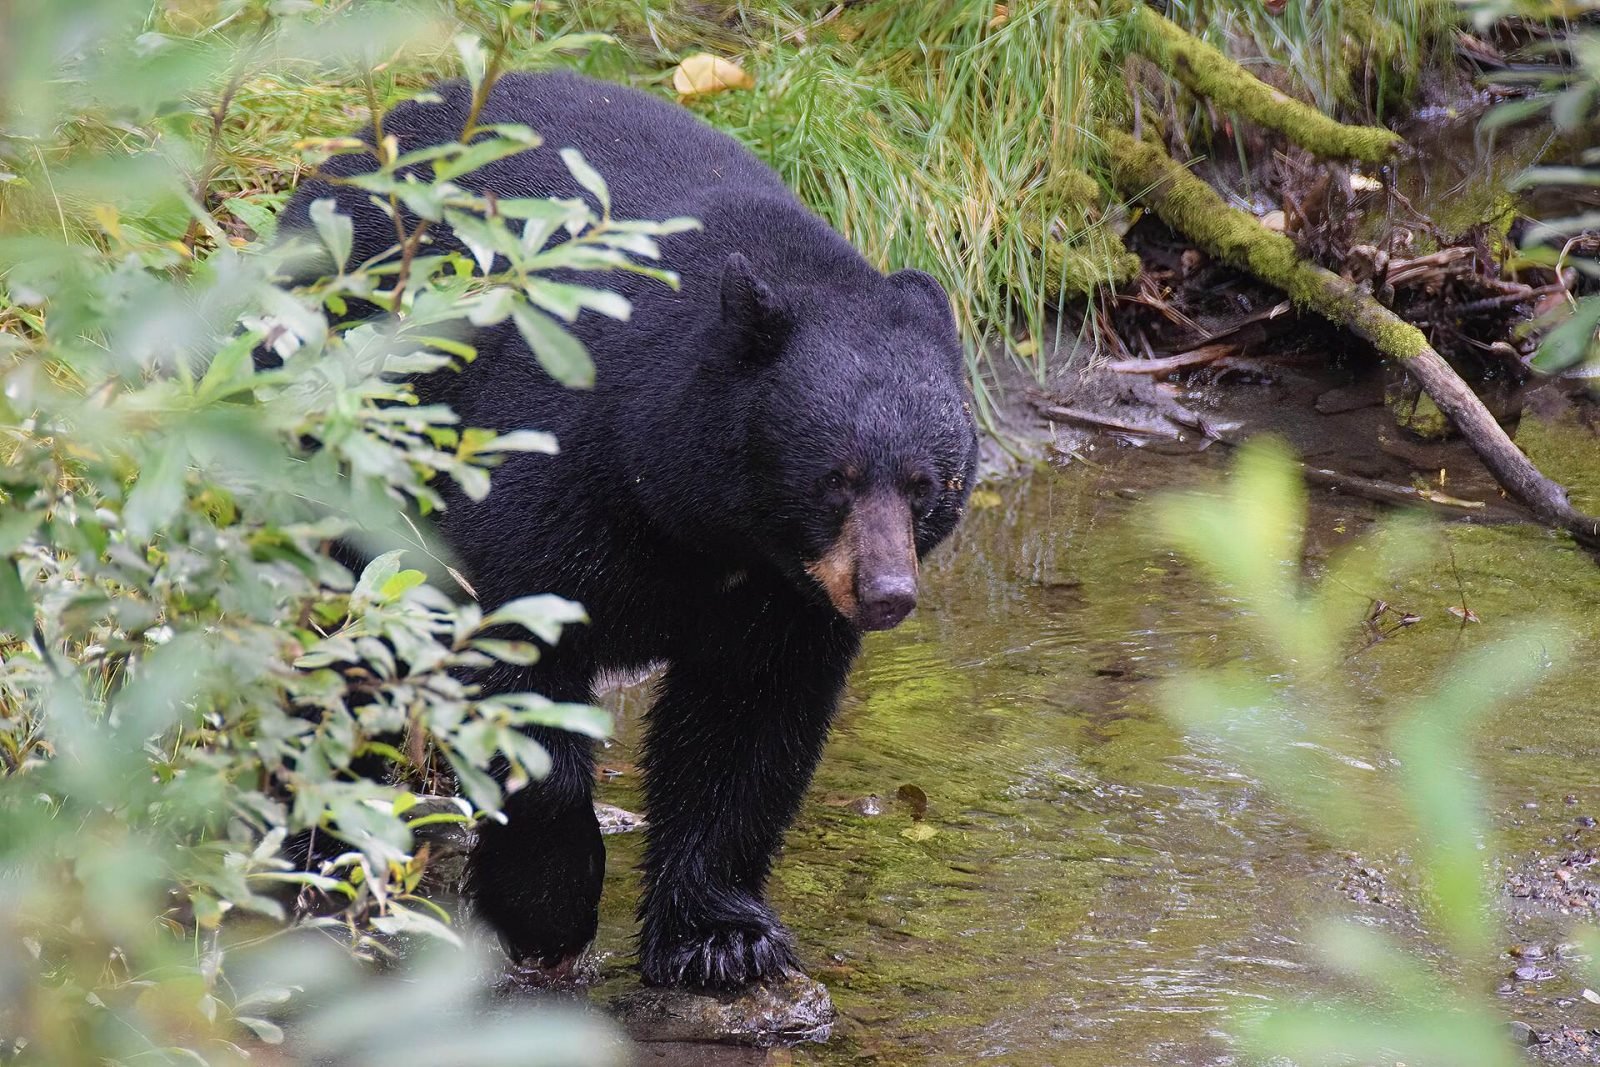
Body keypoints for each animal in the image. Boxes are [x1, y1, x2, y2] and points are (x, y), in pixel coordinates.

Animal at [273, 70, 978, 989]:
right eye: (836, 479)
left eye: (931, 485)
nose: (886, 593)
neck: (707, 527)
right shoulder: (555, 462)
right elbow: (513, 650)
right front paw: (547, 908)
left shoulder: (782, 596)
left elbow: (746, 725)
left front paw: (722, 937)